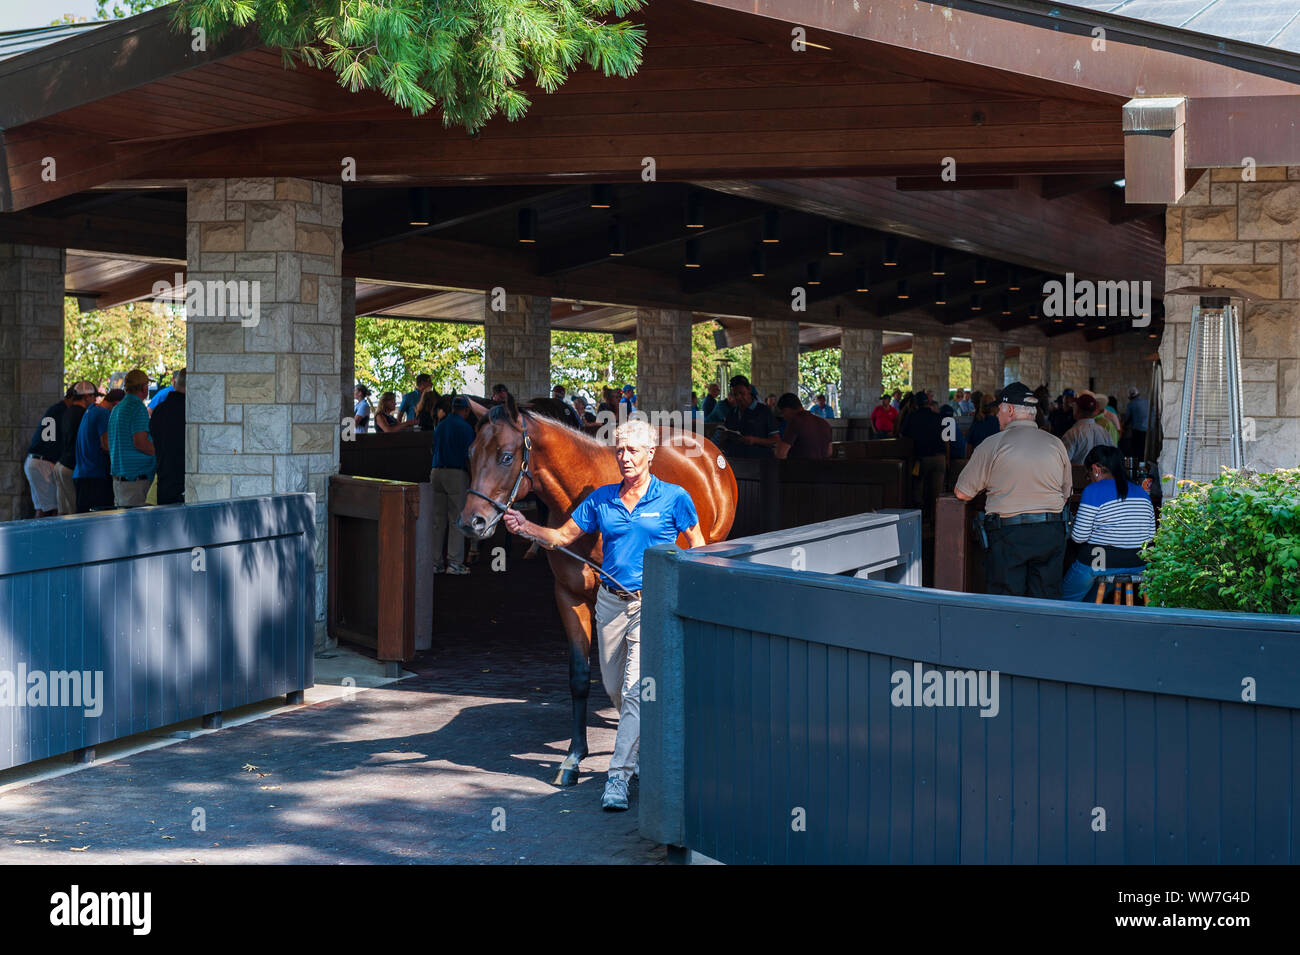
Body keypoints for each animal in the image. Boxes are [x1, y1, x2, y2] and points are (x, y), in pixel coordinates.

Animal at [457, 392, 738, 789]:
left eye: (506, 456)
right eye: (470, 452)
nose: (472, 522)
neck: (580, 498)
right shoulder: (569, 597)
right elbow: (581, 677)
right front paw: (574, 757)